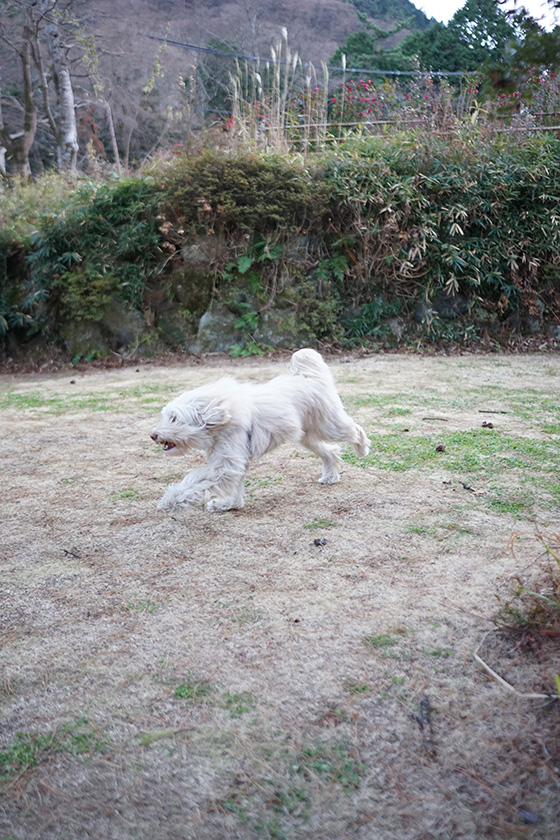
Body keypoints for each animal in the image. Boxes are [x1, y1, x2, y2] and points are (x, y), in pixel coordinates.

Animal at [151, 348, 370, 512]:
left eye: (175, 418)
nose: (153, 435)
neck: (221, 418)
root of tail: (307, 376)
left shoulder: (225, 467)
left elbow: (195, 482)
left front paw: (169, 501)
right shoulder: (235, 464)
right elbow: (235, 492)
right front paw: (228, 505)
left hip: (329, 426)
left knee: (355, 430)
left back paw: (362, 449)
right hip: (306, 436)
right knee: (330, 452)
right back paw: (330, 476)